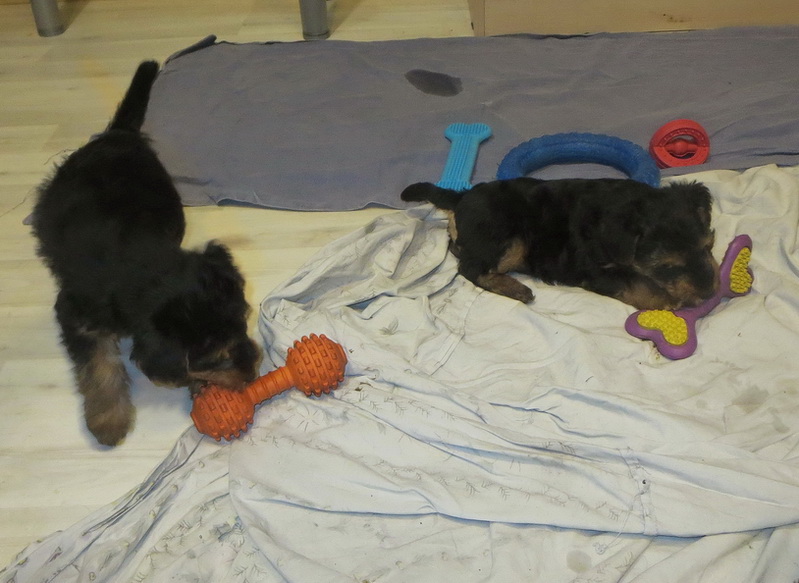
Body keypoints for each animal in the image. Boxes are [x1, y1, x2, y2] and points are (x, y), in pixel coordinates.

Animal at [31, 61, 261, 446]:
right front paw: (108, 421)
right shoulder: (77, 313)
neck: (142, 260)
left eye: (244, 326)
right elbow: (99, 365)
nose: (254, 370)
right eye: (215, 357)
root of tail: (117, 135)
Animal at [401, 177, 719, 310]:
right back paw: (516, 288)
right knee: (471, 268)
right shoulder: (597, 271)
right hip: (511, 239)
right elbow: (638, 285)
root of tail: (461, 197)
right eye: (667, 266)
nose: (710, 293)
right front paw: (668, 301)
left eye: (707, 247)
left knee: (460, 251)